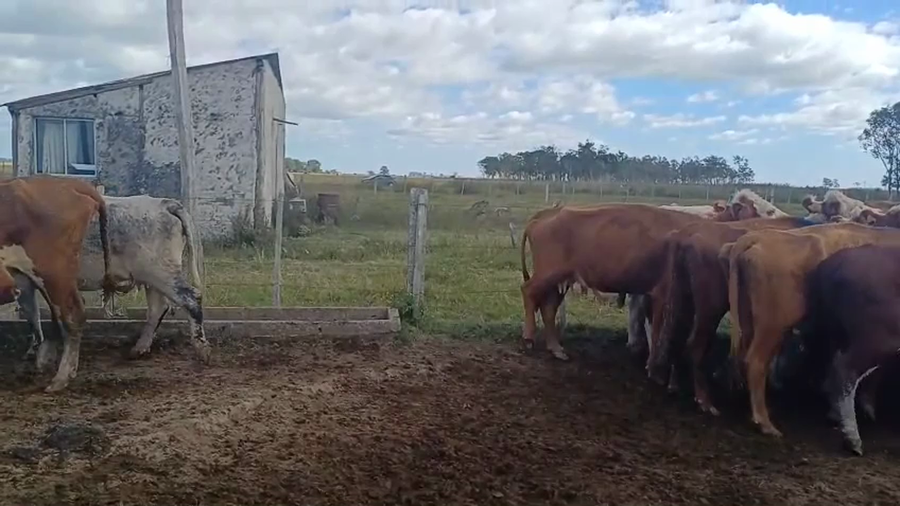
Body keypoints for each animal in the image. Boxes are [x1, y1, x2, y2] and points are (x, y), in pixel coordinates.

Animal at [19, 195, 210, 363]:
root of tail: (164, 203)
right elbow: (34, 310)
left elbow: (31, 311)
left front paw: (32, 351)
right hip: (153, 277)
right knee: (159, 307)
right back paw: (138, 349)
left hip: (160, 271)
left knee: (191, 297)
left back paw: (201, 349)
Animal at [645, 215, 820, 415]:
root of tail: (686, 233)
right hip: (711, 308)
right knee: (695, 346)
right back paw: (705, 401)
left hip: (684, 297)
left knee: (676, 335)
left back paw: (674, 385)